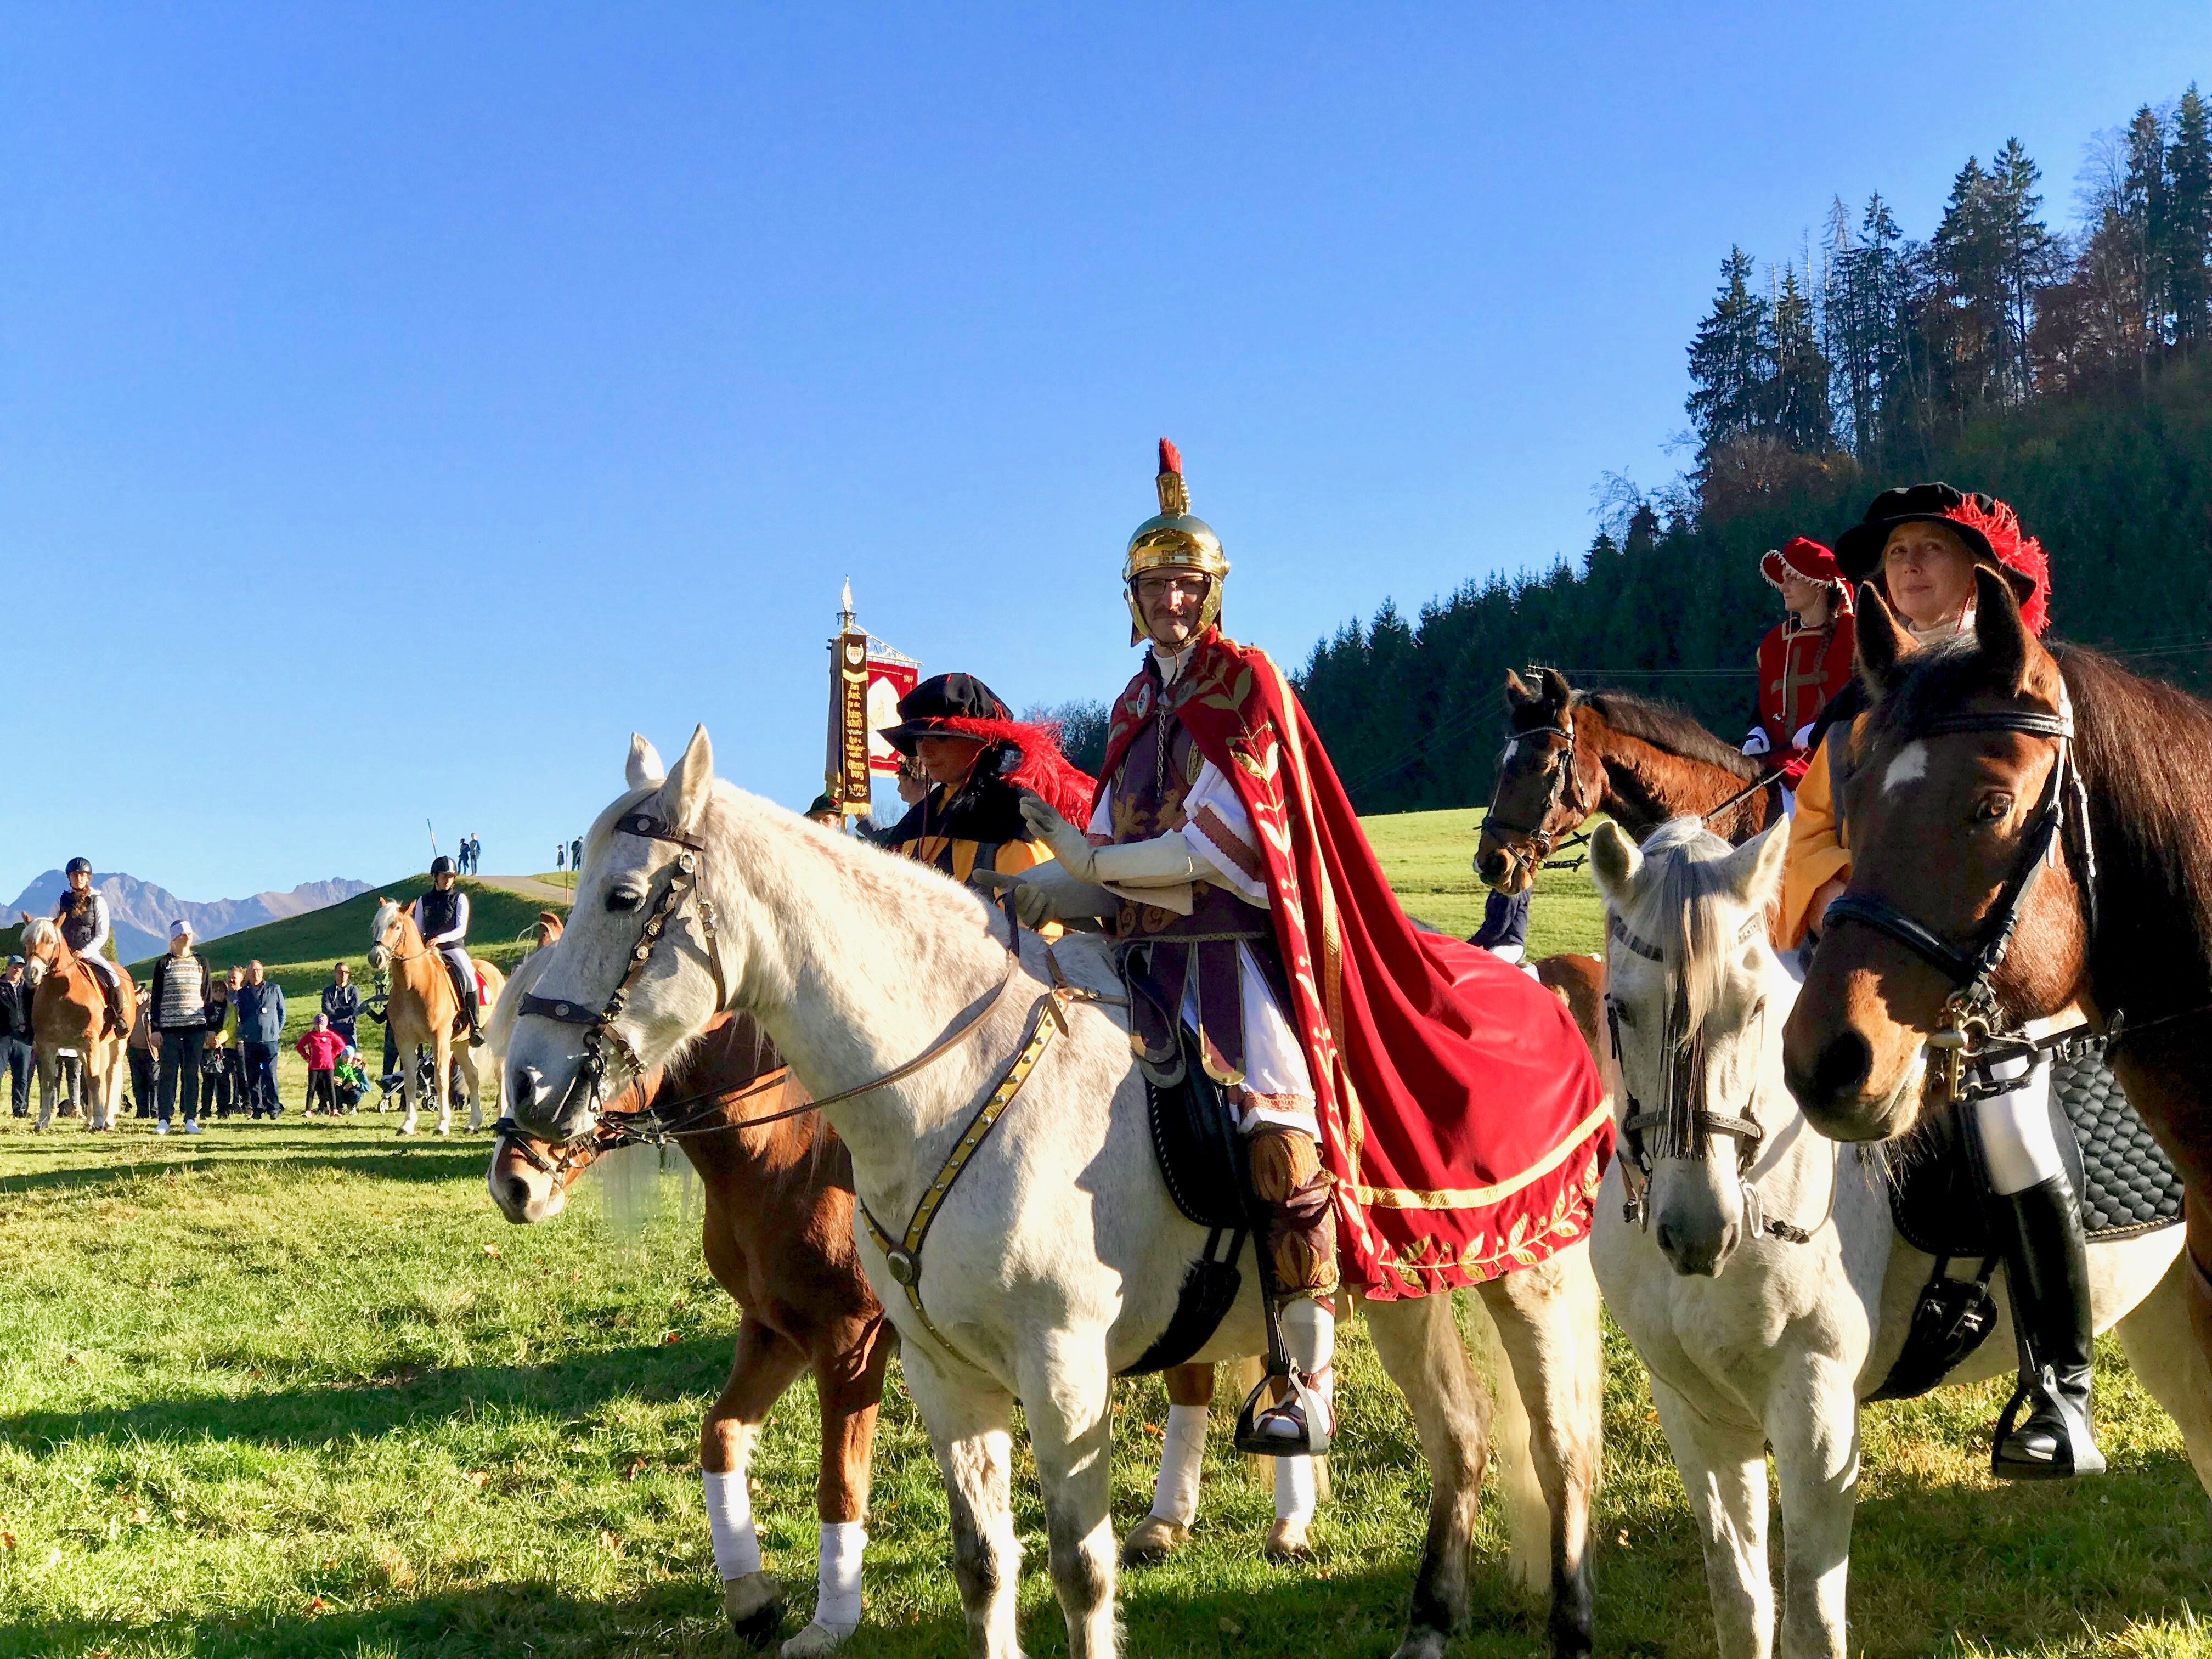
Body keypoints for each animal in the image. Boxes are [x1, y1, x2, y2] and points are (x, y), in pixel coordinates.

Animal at [16, 916, 136, 1141]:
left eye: (51, 941)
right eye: (26, 942)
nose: (32, 973)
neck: (61, 991)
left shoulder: (90, 1042)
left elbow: (96, 1081)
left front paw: (99, 1122)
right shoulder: (47, 1045)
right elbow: (48, 1082)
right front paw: (42, 1121)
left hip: (118, 1043)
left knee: (109, 1076)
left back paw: (107, 1120)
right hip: (82, 1051)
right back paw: (89, 1120)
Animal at [371, 898, 509, 1141]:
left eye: (396, 926)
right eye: (376, 925)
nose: (375, 957)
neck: (413, 985)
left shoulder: (439, 1040)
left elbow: (441, 1080)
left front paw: (443, 1124)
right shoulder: (405, 1041)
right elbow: (409, 1081)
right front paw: (407, 1125)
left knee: (500, 1074)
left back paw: (499, 1117)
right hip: (461, 1043)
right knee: (473, 1076)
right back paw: (473, 1123)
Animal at [491, 924, 889, 1659]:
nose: (513, 1186)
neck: (792, 1152)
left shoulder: (854, 1343)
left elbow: (840, 1486)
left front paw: (829, 1625)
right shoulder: (776, 1331)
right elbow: (721, 1435)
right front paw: (751, 1598)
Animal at [1593, 822, 2212, 1659]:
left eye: (1754, 1007)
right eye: (1621, 1008)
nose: (1698, 1232)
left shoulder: (1817, 1417)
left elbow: (1812, 1624)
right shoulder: (1697, 1415)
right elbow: (1742, 1607)